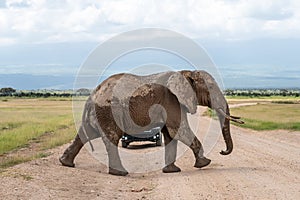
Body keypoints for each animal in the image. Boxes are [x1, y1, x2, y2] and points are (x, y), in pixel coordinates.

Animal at [59, 70, 244, 175]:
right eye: (211, 88)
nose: (222, 151)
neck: (186, 73)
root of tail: (92, 94)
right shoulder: (171, 101)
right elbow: (179, 130)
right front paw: (204, 163)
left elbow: (170, 135)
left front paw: (172, 171)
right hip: (109, 111)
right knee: (111, 137)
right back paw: (120, 173)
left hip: (99, 113)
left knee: (86, 133)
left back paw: (65, 163)